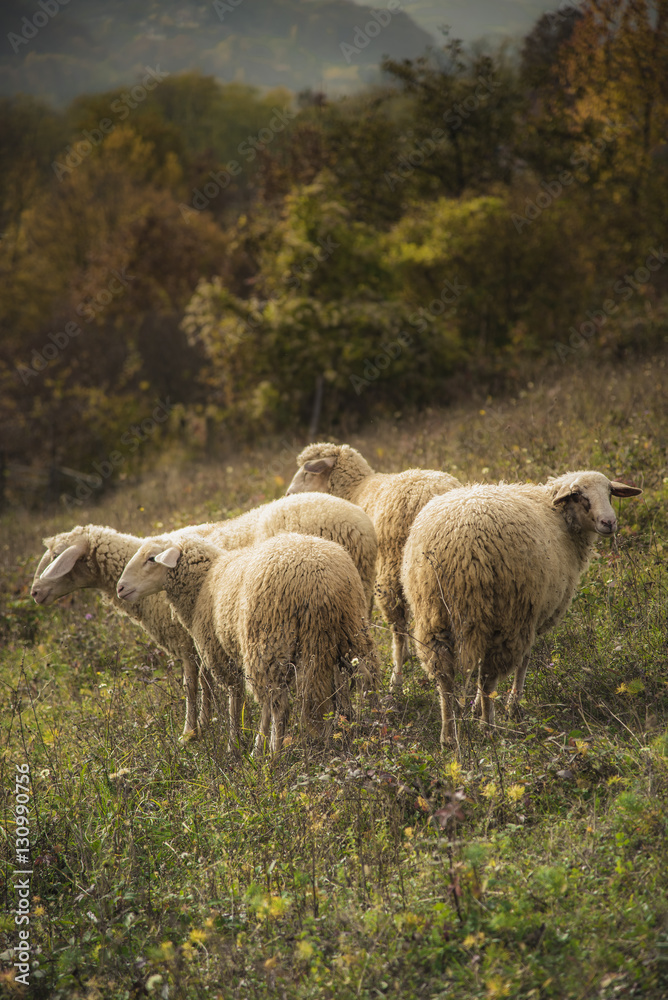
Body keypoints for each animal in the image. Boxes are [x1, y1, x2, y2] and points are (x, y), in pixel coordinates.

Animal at [116, 531, 379, 753]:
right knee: (367, 676)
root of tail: (321, 582)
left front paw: (237, 745)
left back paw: (274, 756)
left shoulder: (221, 654)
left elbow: (236, 698)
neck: (203, 584)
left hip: (268, 641)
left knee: (280, 705)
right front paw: (255, 744)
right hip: (350, 628)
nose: (120, 588)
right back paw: (374, 722)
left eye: (151, 558)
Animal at [286, 442, 460, 693]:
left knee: (398, 624)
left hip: (392, 565)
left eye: (308, 472)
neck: (355, 489)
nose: (288, 494)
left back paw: (396, 680)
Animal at [401, 471, 643, 745]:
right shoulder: (532, 616)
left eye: (610, 492)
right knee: (488, 676)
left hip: (434, 614)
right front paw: (511, 705)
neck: (559, 516)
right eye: (579, 495)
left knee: (445, 677)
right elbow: (524, 662)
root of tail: (462, 551)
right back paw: (489, 728)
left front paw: (474, 708)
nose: (609, 522)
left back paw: (449, 735)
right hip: (508, 615)